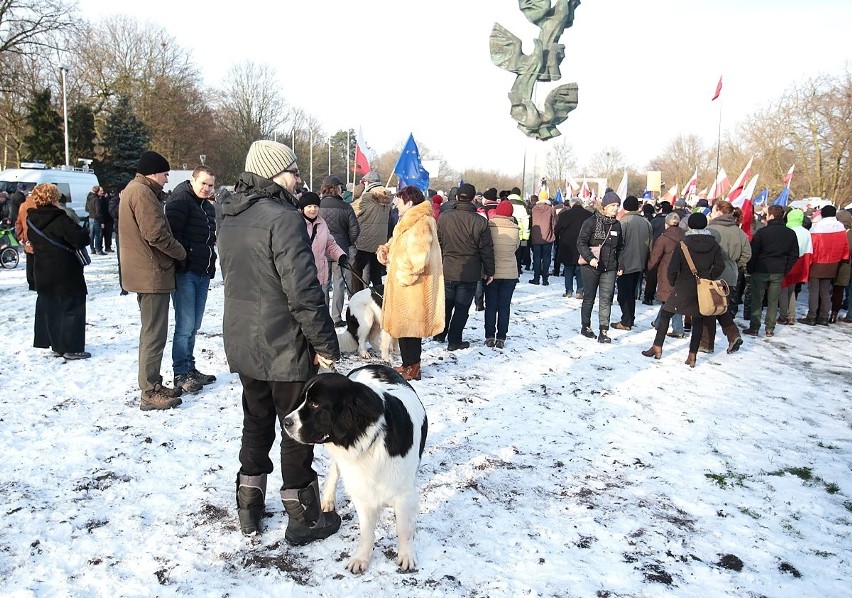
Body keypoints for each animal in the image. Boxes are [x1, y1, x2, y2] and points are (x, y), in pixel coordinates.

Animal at [284, 366, 430, 576]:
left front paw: (406, 555)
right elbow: (366, 532)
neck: (370, 442)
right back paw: (328, 499)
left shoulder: (404, 493)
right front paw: (361, 558)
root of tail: (373, 366)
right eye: (303, 400)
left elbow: (403, 528)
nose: (285, 422)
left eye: (314, 404)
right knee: (335, 469)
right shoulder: (362, 492)